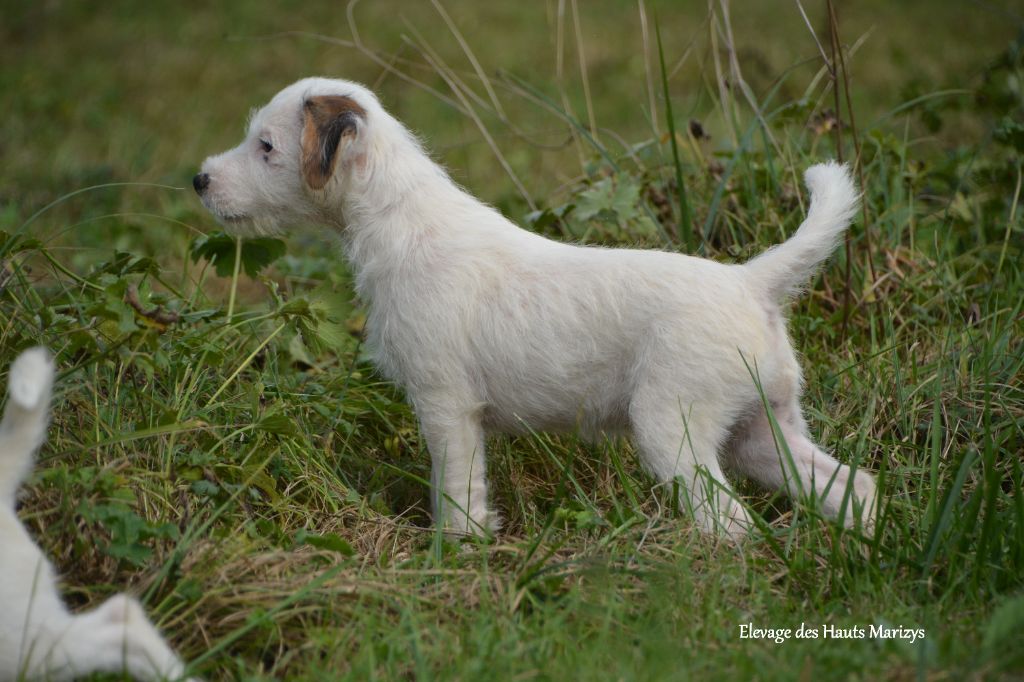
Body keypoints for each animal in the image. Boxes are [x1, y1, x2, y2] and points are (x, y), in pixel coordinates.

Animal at [194, 77, 877, 539]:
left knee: (729, 522)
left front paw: (457, 552)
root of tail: (750, 283)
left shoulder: (446, 407)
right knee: (851, 485)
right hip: (763, 431)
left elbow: (459, 493)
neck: (401, 218)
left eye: (266, 146)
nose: (199, 180)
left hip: (675, 430)